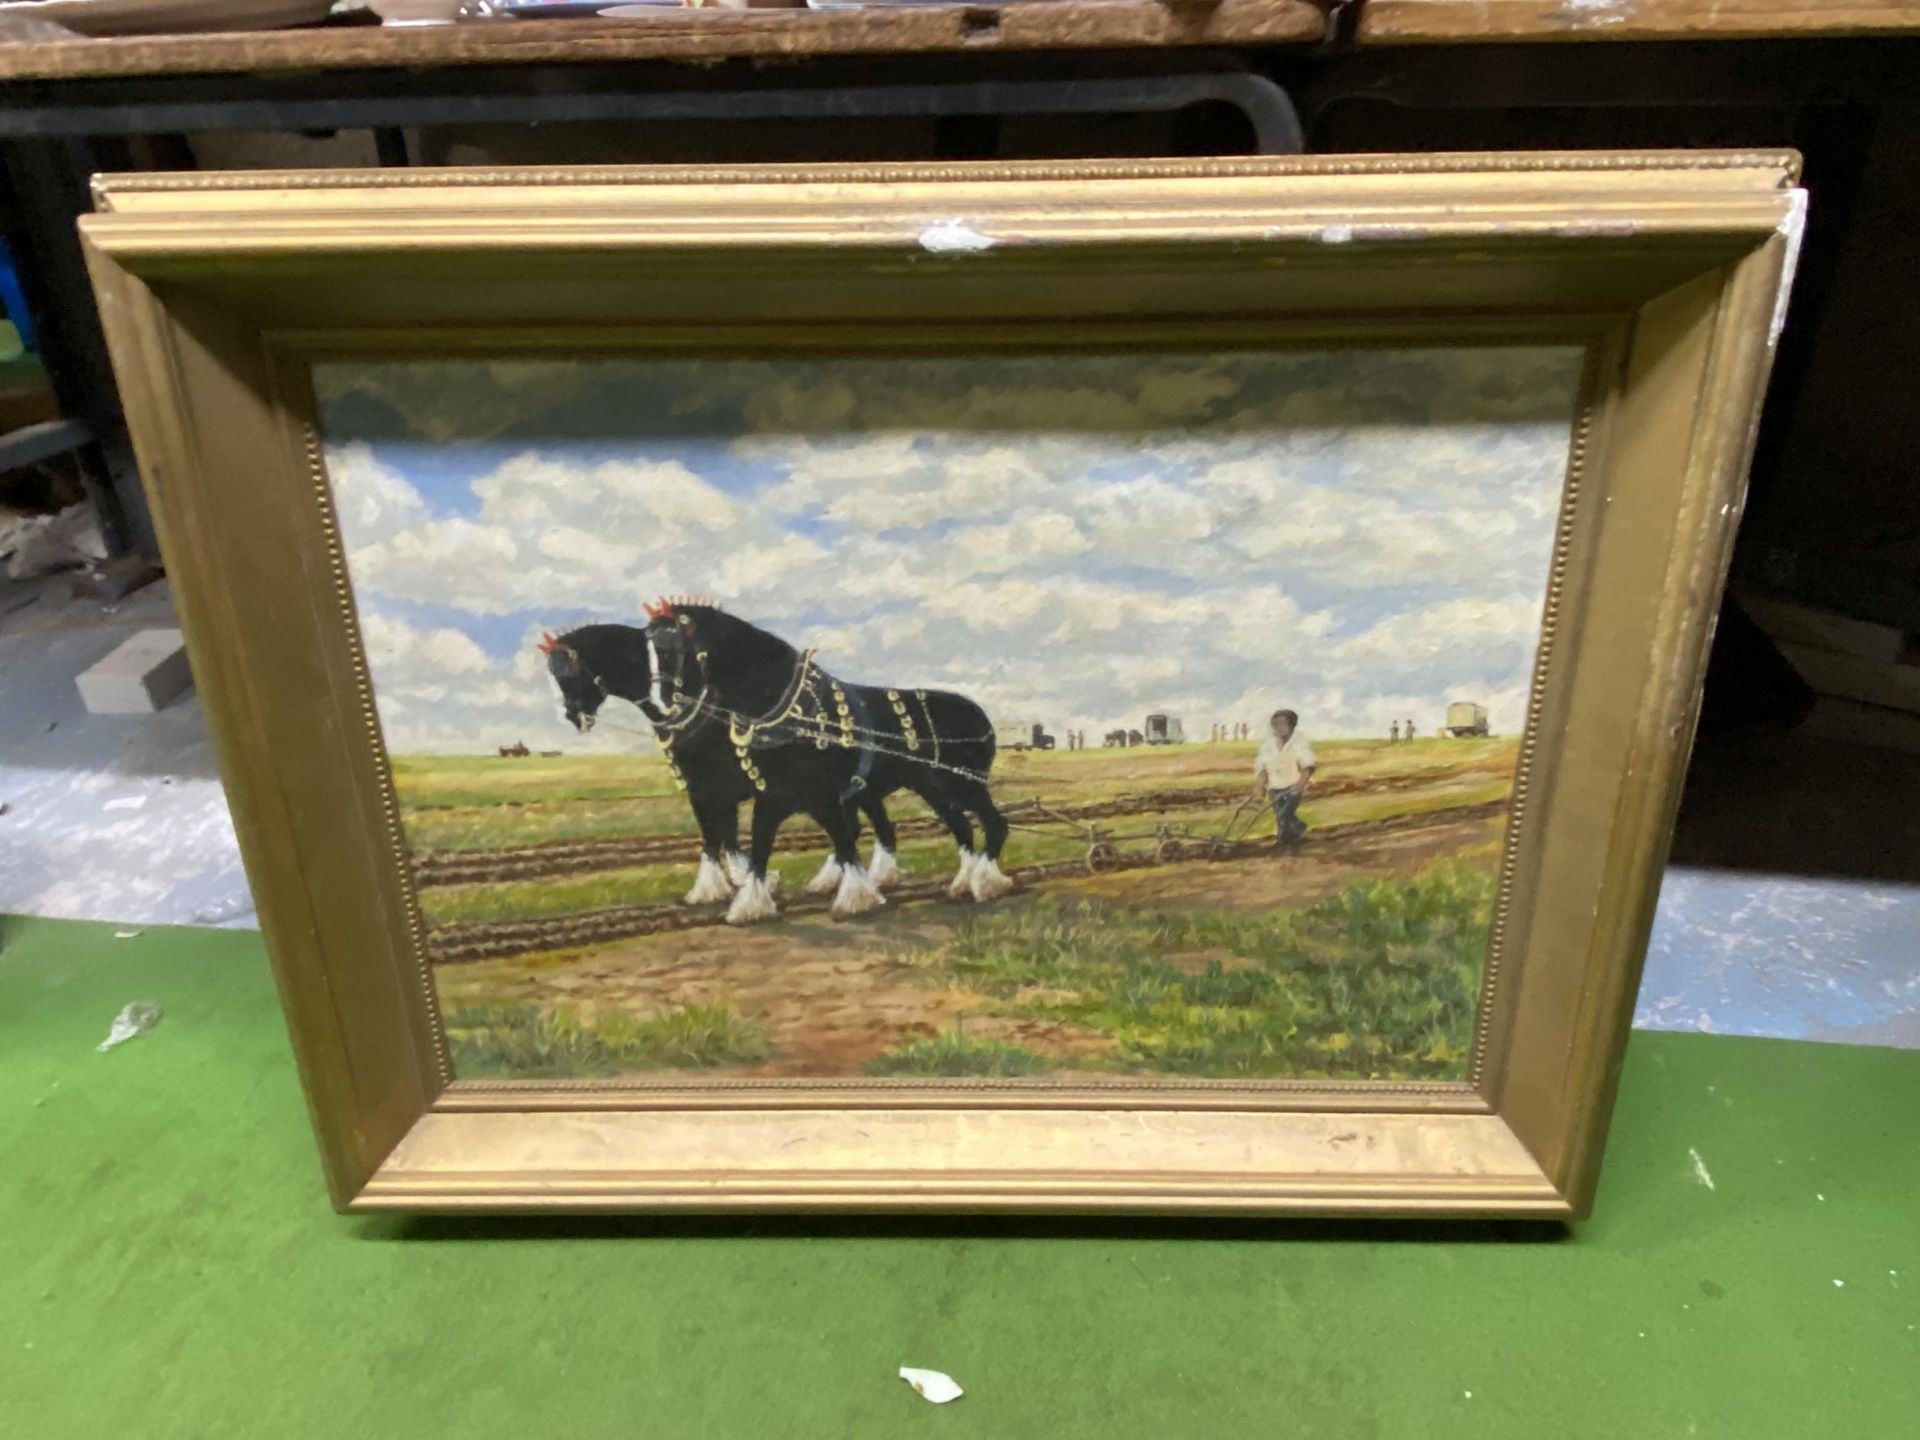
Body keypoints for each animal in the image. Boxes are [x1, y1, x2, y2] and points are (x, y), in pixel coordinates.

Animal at [541, 599, 1013, 925]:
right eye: (556, 674)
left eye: (671, 646)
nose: (573, 716)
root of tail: (979, 715)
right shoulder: (737, 793)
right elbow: (737, 843)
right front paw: (738, 895)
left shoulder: (786, 794)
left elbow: (807, 843)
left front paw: (850, 898)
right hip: (927, 788)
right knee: (950, 828)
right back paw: (958, 881)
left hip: (961, 783)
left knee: (991, 825)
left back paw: (985, 882)